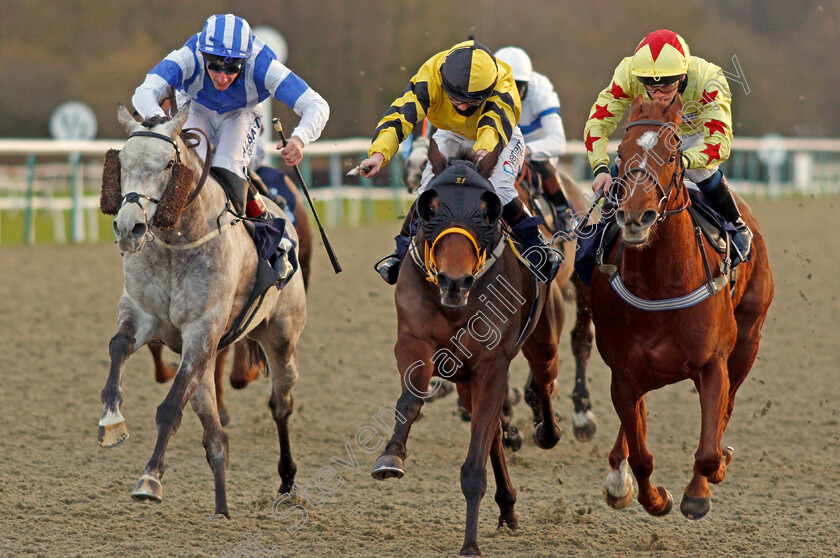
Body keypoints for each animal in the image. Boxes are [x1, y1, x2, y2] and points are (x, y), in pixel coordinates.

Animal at [372, 152, 564, 556]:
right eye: (429, 209)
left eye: (486, 211)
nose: (453, 281)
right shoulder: (414, 342)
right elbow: (410, 400)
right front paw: (391, 455)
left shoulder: (491, 364)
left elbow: (477, 456)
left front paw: (470, 543)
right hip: (463, 377)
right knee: (492, 430)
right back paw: (507, 506)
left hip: (544, 340)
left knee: (541, 384)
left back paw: (547, 432)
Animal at [592, 96, 772, 520]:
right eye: (620, 154)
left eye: (672, 154)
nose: (635, 217)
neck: (660, 283)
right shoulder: (624, 374)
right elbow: (641, 454)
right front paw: (653, 498)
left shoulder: (713, 364)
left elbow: (707, 448)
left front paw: (699, 490)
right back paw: (618, 477)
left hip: (748, 340)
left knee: (728, 407)